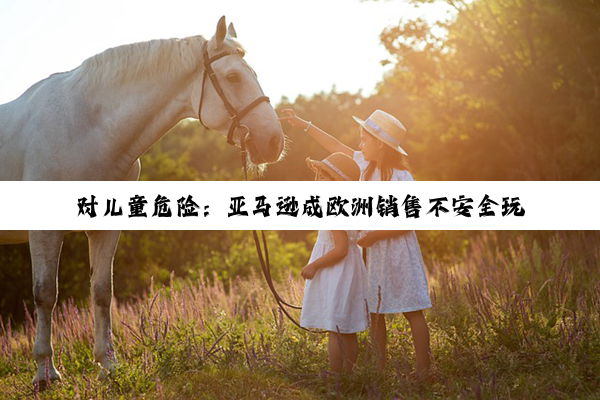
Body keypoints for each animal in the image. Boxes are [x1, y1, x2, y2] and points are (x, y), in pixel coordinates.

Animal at [0, 230, 120, 386]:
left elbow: (102, 291)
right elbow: (46, 292)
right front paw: (46, 373)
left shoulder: (104, 233)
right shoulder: (44, 234)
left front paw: (109, 365)